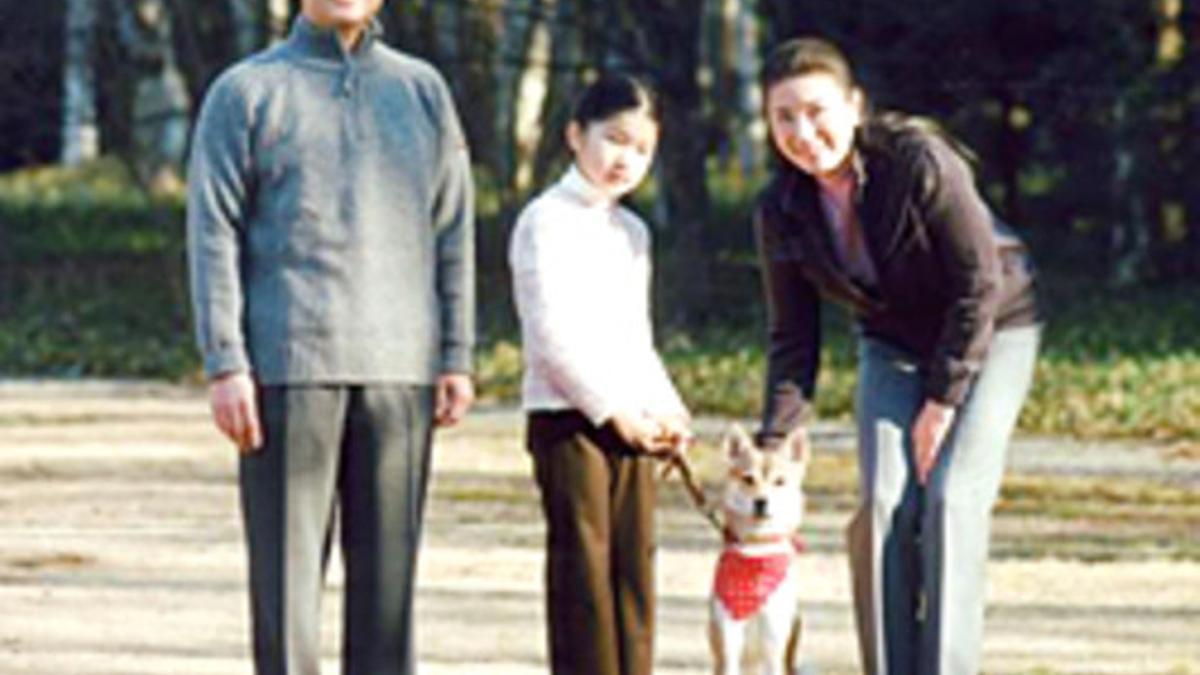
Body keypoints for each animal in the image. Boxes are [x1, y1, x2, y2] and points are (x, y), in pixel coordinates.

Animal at [705, 425, 811, 672]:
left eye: (779, 481)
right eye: (748, 478)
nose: (761, 502)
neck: (757, 546)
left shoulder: (773, 644)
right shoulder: (729, 644)